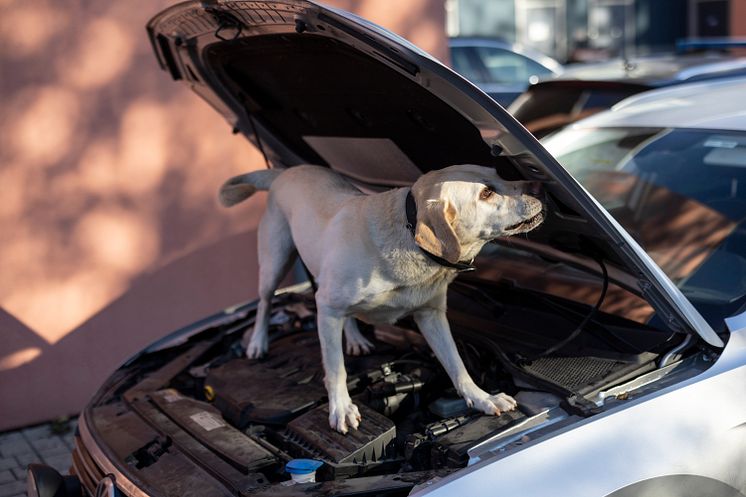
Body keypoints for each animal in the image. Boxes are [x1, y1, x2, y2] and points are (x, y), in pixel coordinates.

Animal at [218, 165, 544, 432]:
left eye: (499, 174)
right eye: (486, 192)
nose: (537, 185)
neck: (408, 234)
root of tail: (286, 171)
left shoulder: (431, 314)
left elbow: (456, 365)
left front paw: (483, 398)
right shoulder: (328, 305)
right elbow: (335, 368)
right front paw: (341, 408)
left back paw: (354, 338)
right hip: (276, 261)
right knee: (265, 303)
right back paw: (258, 342)